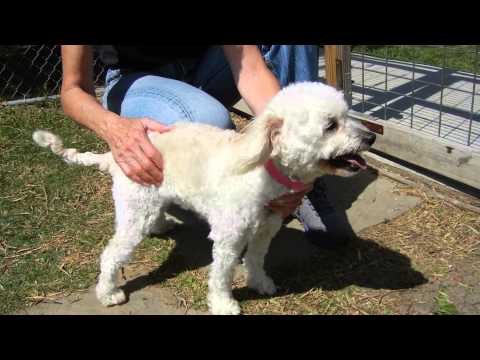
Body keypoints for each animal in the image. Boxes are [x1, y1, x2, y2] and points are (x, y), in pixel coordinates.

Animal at [32, 82, 376, 316]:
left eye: (347, 116)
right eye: (331, 126)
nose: (371, 137)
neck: (263, 169)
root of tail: (113, 156)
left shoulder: (265, 228)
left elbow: (256, 258)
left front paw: (260, 282)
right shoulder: (229, 237)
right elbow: (222, 274)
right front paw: (224, 304)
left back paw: (162, 224)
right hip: (134, 212)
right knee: (110, 255)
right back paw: (108, 293)